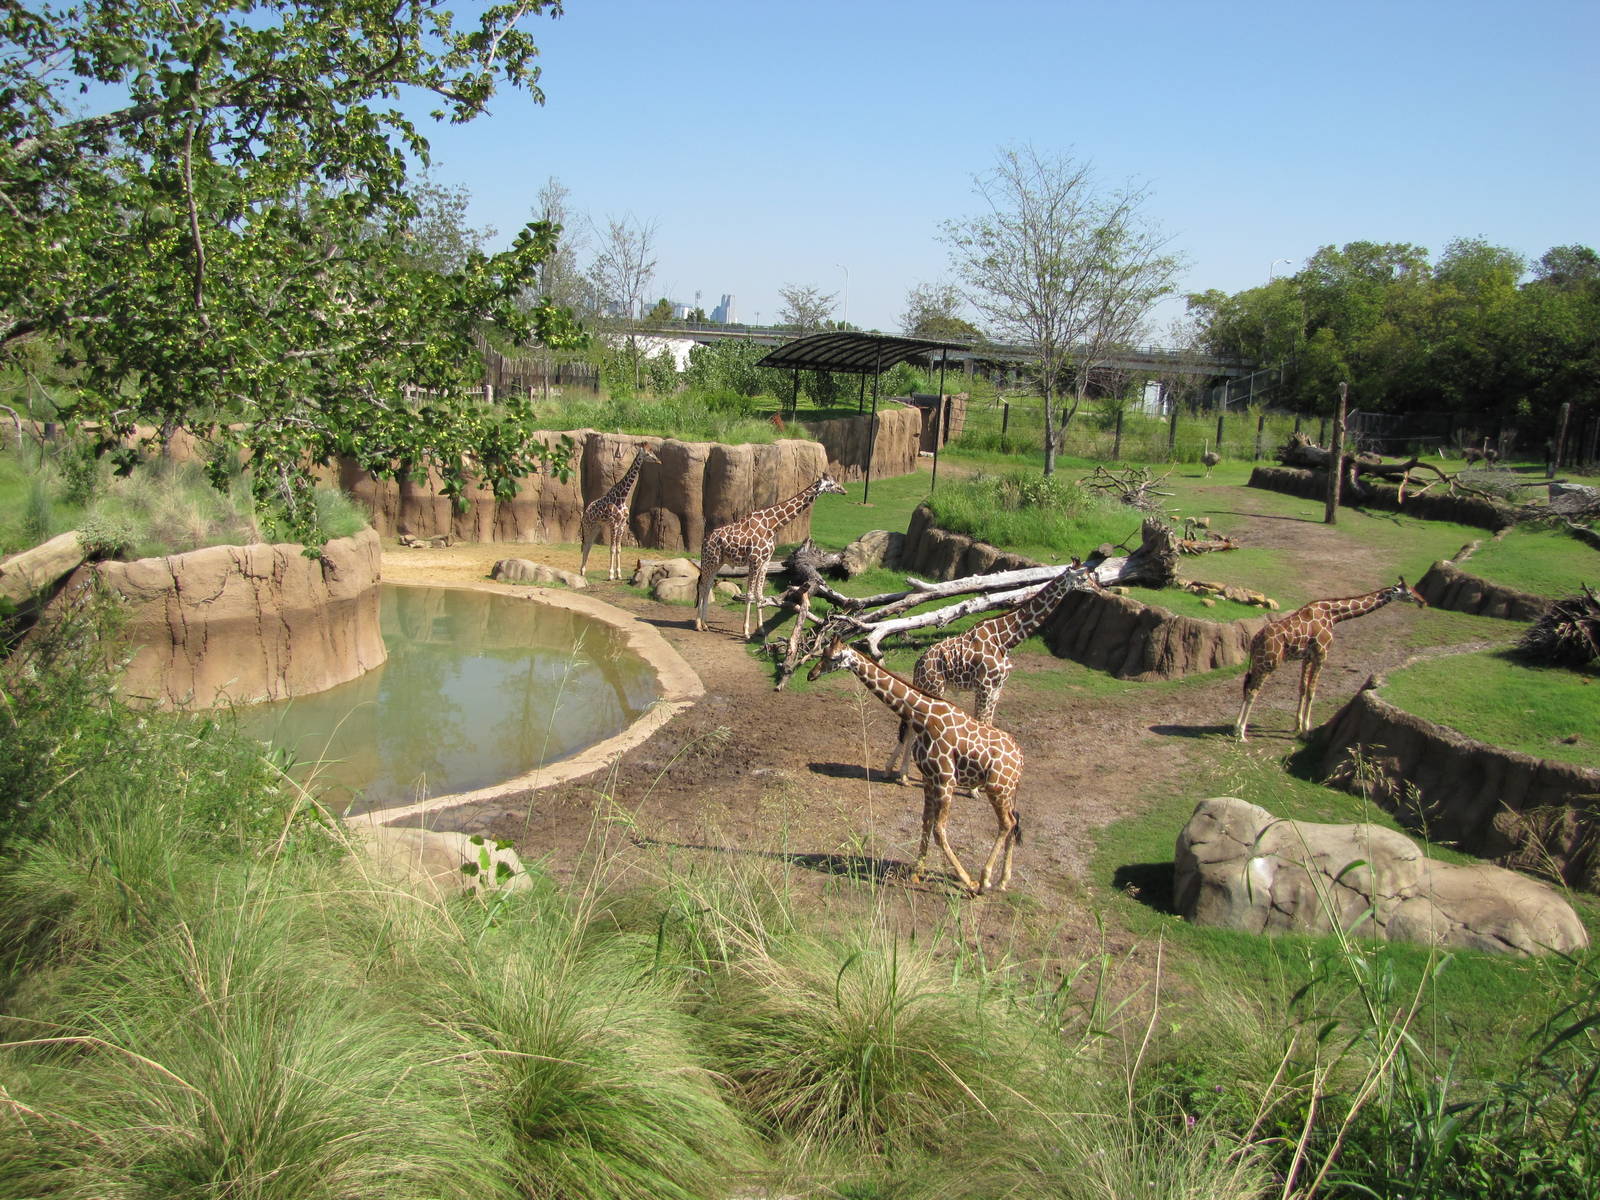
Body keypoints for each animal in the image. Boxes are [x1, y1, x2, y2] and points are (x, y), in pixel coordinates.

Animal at [580, 443, 660, 581]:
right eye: (648, 453)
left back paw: (584, 571)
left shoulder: (622, 524)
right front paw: (611, 574)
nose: (658, 460)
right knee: (585, 545)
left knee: (589, 545)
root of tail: (586, 511)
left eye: (652, 451)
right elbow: (612, 548)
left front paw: (619, 574)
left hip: (596, 526)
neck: (622, 497)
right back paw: (581, 571)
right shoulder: (613, 523)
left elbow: (618, 549)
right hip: (588, 526)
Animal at [694, 473, 846, 637]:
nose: (844, 491)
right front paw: (746, 631)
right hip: (709, 560)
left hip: (717, 562)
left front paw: (760, 629)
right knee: (702, 585)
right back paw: (698, 625)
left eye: (836, 482)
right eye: (831, 484)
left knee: (708, 586)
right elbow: (750, 594)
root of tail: (704, 540)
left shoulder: (765, 561)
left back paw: (705, 624)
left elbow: (759, 594)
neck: (773, 525)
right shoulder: (755, 560)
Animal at [808, 637, 1024, 895]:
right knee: (1013, 822)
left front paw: (968, 881)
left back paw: (985, 880)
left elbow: (939, 831)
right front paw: (916, 873)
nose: (811, 674)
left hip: (997, 788)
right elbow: (926, 823)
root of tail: (1020, 758)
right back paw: (1003, 881)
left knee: (1006, 823)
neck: (922, 717)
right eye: (822, 653)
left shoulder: (946, 780)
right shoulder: (929, 779)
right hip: (1007, 791)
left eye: (831, 657)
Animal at [884, 560, 1096, 784]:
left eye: (1092, 577)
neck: (1006, 639)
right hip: (934, 687)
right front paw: (976, 784)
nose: (1098, 589)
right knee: (913, 725)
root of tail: (919, 663)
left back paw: (894, 770)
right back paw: (904, 774)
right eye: (1084, 578)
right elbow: (982, 722)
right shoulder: (984, 685)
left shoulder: (997, 687)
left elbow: (988, 722)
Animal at [1234, 576, 1427, 741]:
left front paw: (1297, 726)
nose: (1423, 601)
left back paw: (1236, 728)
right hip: (1269, 663)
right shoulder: (1322, 654)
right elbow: (1312, 691)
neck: (1334, 615)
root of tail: (1255, 640)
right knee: (1253, 691)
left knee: (1247, 686)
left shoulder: (1307, 657)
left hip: (1258, 663)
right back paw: (1242, 733)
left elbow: (1302, 688)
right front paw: (1306, 731)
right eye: (1409, 592)